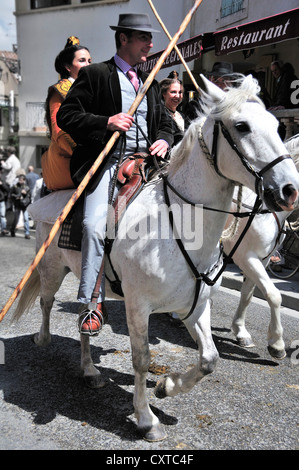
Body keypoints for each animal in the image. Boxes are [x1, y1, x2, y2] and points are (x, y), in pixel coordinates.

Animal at [12, 75, 299, 442]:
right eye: (242, 126)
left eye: (277, 126)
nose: (289, 190)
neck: (181, 225)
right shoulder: (139, 306)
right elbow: (141, 358)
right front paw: (146, 418)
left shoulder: (197, 303)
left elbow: (210, 358)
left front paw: (167, 387)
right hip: (51, 268)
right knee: (46, 303)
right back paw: (43, 339)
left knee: (82, 317)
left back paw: (90, 370)